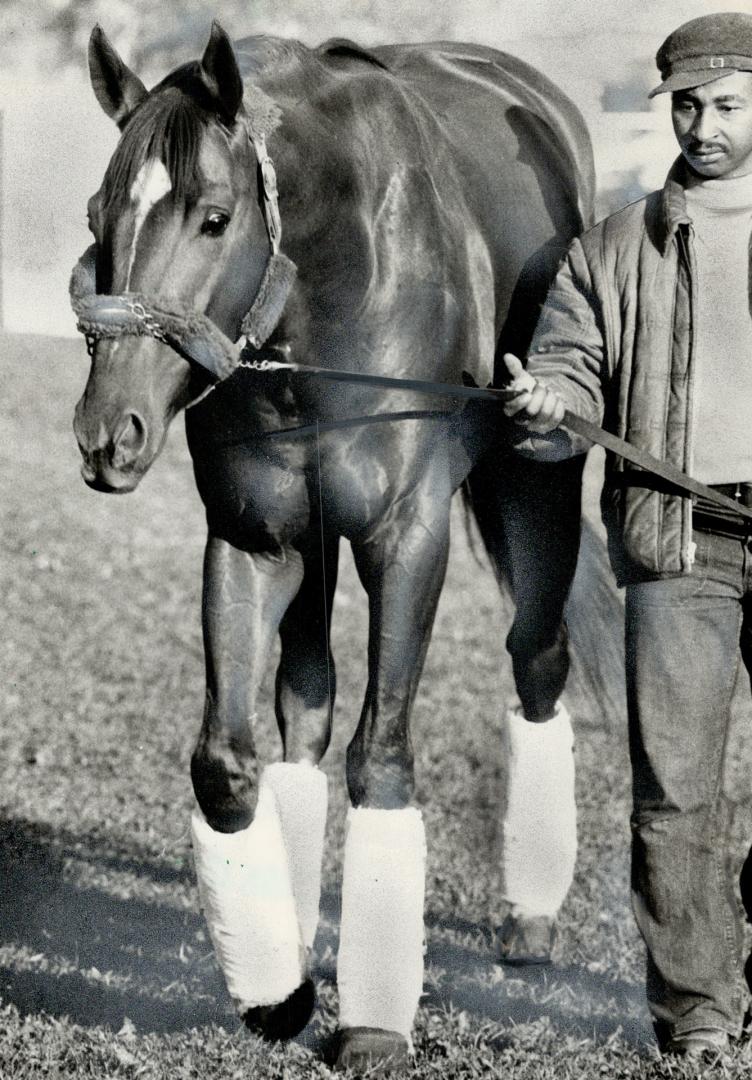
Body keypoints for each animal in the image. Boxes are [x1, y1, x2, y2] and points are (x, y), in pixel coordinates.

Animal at [70, 23, 592, 1071]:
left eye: (215, 217)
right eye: (101, 215)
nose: (110, 434)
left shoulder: (407, 539)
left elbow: (380, 757)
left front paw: (374, 1022)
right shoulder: (254, 538)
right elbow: (227, 762)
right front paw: (275, 986)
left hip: (537, 485)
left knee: (536, 658)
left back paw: (529, 915)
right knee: (304, 708)